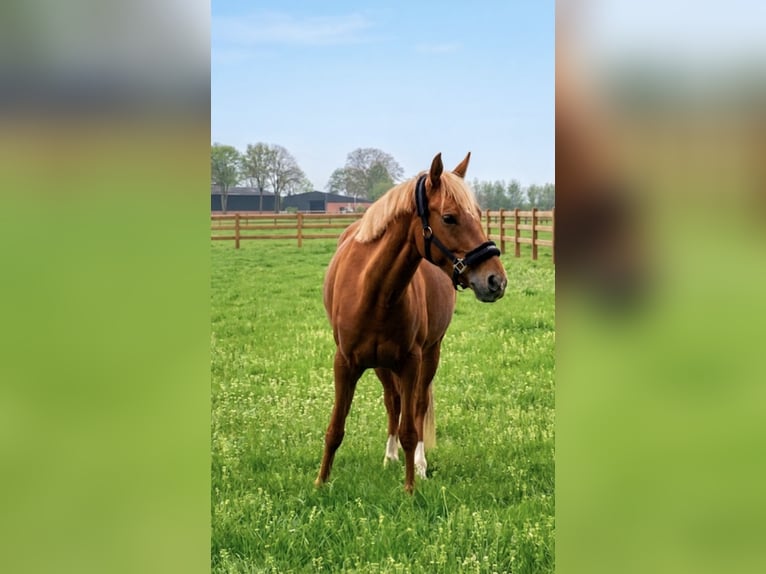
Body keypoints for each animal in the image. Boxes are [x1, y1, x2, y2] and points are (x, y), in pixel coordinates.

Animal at [315, 152, 508, 492]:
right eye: (449, 217)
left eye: (478, 214)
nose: (495, 281)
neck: (373, 290)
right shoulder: (345, 363)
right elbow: (336, 427)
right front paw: (321, 483)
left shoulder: (410, 362)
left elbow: (410, 428)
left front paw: (409, 490)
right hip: (381, 364)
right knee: (393, 403)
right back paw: (389, 456)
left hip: (430, 354)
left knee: (417, 406)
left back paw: (419, 463)